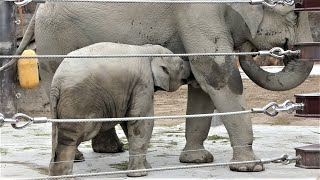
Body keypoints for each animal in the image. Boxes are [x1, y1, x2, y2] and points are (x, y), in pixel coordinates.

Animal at [49, 42, 190, 177]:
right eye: (181, 66)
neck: (149, 50)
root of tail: (57, 83)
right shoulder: (143, 83)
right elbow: (141, 120)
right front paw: (140, 174)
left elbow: (128, 121)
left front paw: (147, 168)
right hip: (81, 100)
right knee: (74, 136)